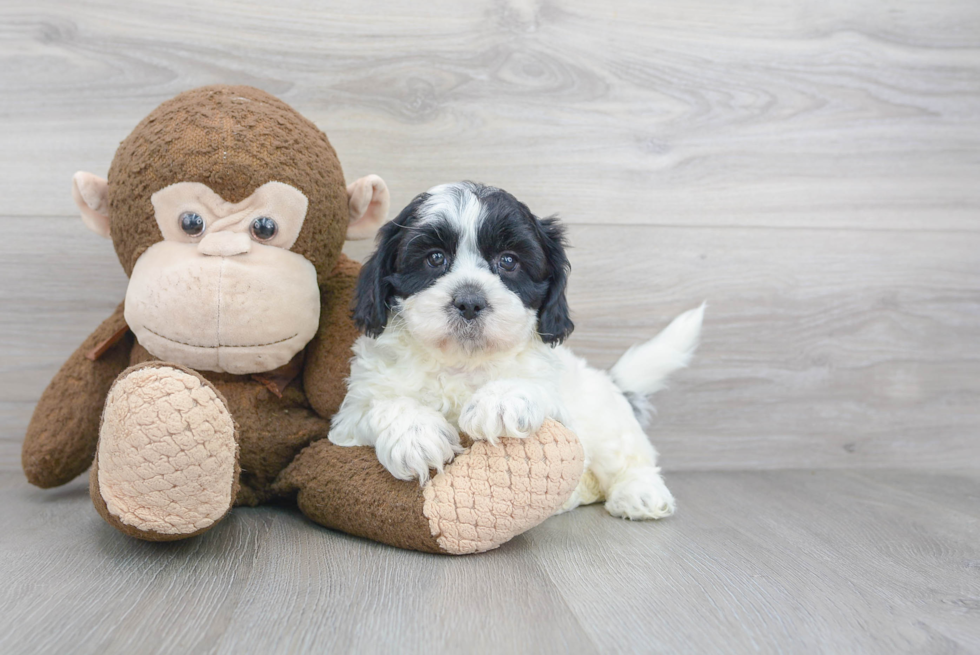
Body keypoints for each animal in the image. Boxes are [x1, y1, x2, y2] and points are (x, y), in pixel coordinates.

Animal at [332, 182, 704, 520]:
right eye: (435, 258)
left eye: (508, 261)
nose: (469, 301)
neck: (462, 361)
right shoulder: (349, 417)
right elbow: (380, 406)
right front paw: (415, 433)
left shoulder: (560, 412)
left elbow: (531, 389)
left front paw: (500, 399)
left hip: (607, 422)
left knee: (630, 460)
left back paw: (640, 494)